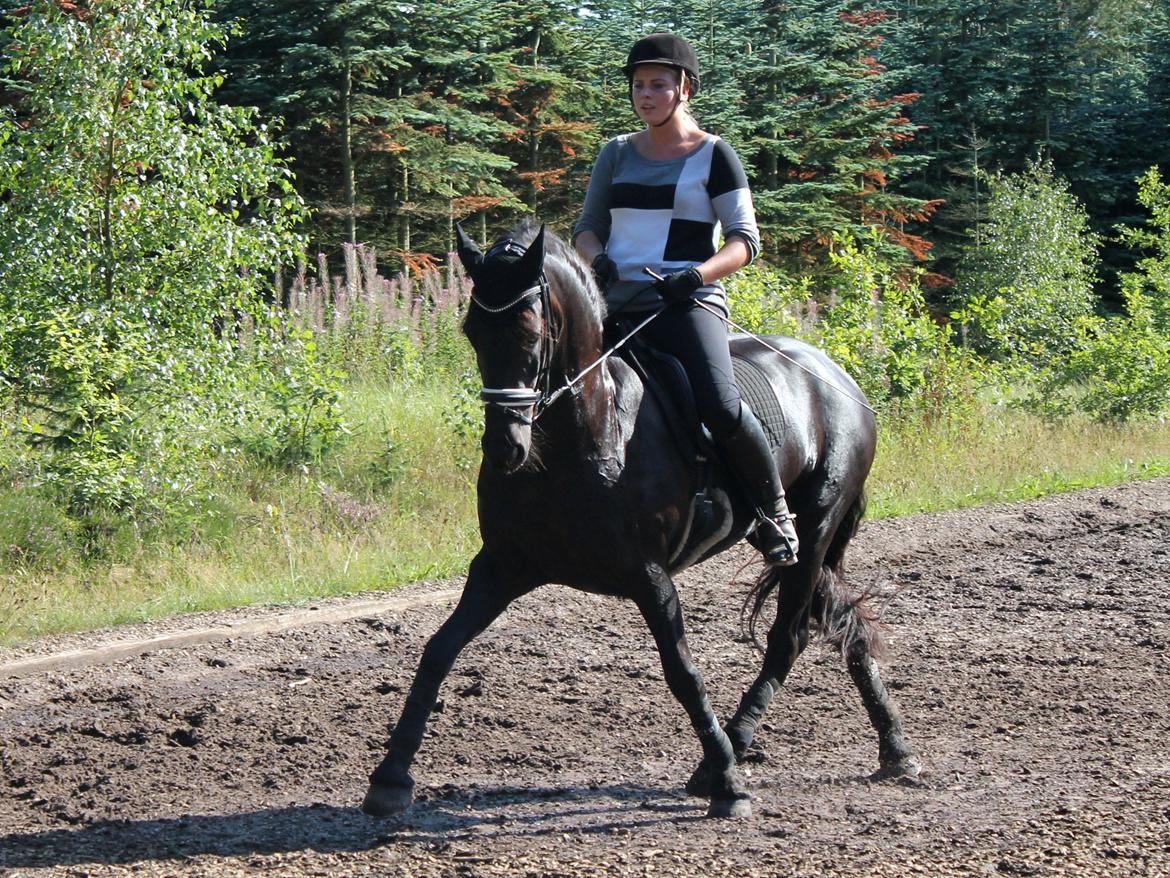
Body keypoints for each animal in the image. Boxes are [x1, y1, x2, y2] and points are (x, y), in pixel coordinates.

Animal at [360, 223, 917, 824]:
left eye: (530, 333)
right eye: (471, 332)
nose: (505, 448)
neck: (584, 437)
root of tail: (839, 377)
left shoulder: (648, 576)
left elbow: (683, 673)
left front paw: (728, 783)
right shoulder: (502, 567)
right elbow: (439, 650)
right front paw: (390, 777)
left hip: (814, 528)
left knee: (789, 636)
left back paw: (734, 748)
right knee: (842, 621)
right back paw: (896, 750)